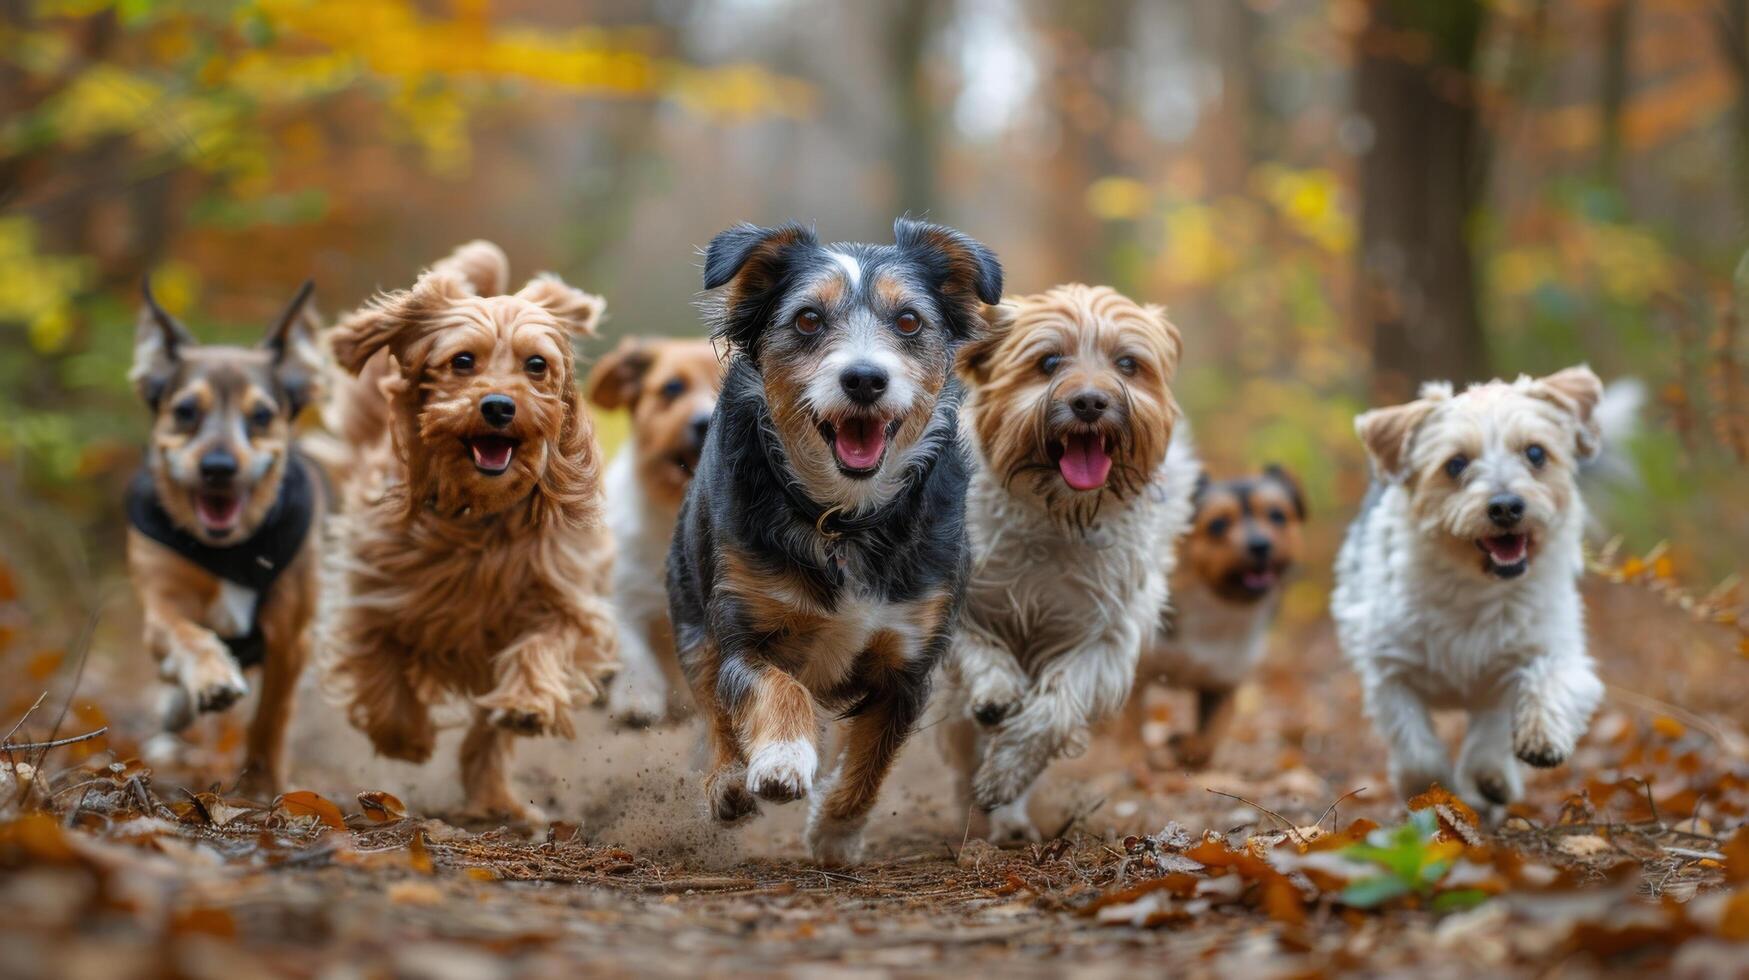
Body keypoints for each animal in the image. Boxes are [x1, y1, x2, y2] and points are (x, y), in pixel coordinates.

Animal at [126, 276, 328, 798]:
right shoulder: (159, 605)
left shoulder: (290, 636)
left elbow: (270, 717)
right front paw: (211, 679)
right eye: (184, 411)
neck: (231, 549)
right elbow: (187, 634)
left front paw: (261, 785)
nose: (218, 467)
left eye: (261, 416)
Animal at [325, 241, 619, 822]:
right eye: (462, 361)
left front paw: (527, 703)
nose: (499, 406)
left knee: (486, 736)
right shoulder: (375, 594)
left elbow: (544, 644)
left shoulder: (564, 597)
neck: (480, 515)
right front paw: (406, 738)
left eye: (536, 365)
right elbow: (381, 668)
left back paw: (497, 800)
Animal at [664, 217, 1007, 861]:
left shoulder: (909, 663)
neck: (844, 518)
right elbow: (773, 689)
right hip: (691, 606)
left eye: (909, 321)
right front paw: (780, 761)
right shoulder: (743, 628)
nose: (865, 378)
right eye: (806, 319)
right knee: (712, 702)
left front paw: (836, 831)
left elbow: (870, 763)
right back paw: (728, 784)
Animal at [1336, 364, 1609, 808]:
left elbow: (1537, 689)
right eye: (1455, 464)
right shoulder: (1388, 670)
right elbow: (1415, 746)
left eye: (1535, 453)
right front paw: (1429, 788)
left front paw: (1508, 762)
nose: (1506, 506)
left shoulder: (1542, 651)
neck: (1476, 587)